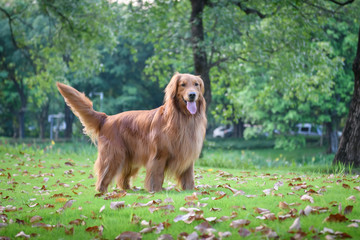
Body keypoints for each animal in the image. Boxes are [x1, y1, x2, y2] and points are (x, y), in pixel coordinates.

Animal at [57, 72, 207, 192]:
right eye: (183, 84)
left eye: (196, 84)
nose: (192, 95)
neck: (182, 117)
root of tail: (107, 118)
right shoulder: (159, 155)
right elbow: (157, 175)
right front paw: (156, 191)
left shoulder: (188, 152)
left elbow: (189, 176)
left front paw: (190, 191)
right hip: (114, 155)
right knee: (104, 176)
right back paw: (102, 192)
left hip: (130, 158)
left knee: (122, 178)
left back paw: (129, 190)